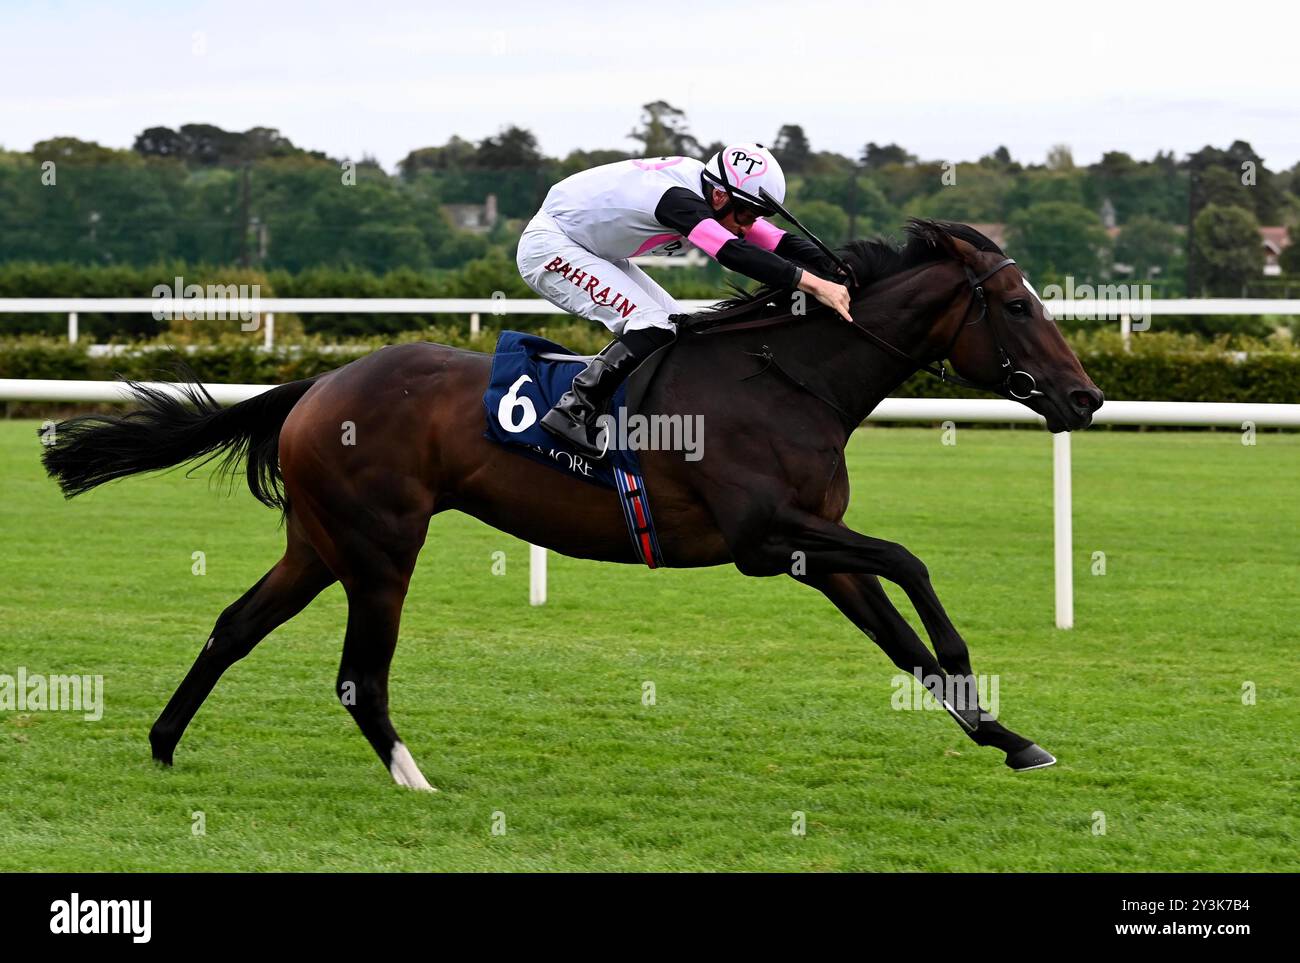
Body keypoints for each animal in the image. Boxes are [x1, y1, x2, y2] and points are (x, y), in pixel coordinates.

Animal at [40, 219, 1097, 790]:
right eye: (1017, 307)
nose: (1084, 397)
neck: (786, 376)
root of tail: (317, 385)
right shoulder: (765, 536)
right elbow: (915, 566)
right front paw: (977, 675)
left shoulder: (816, 549)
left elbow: (904, 642)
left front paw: (1011, 738)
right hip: (380, 548)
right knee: (358, 674)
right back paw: (415, 777)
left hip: (320, 544)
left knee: (233, 625)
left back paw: (163, 744)